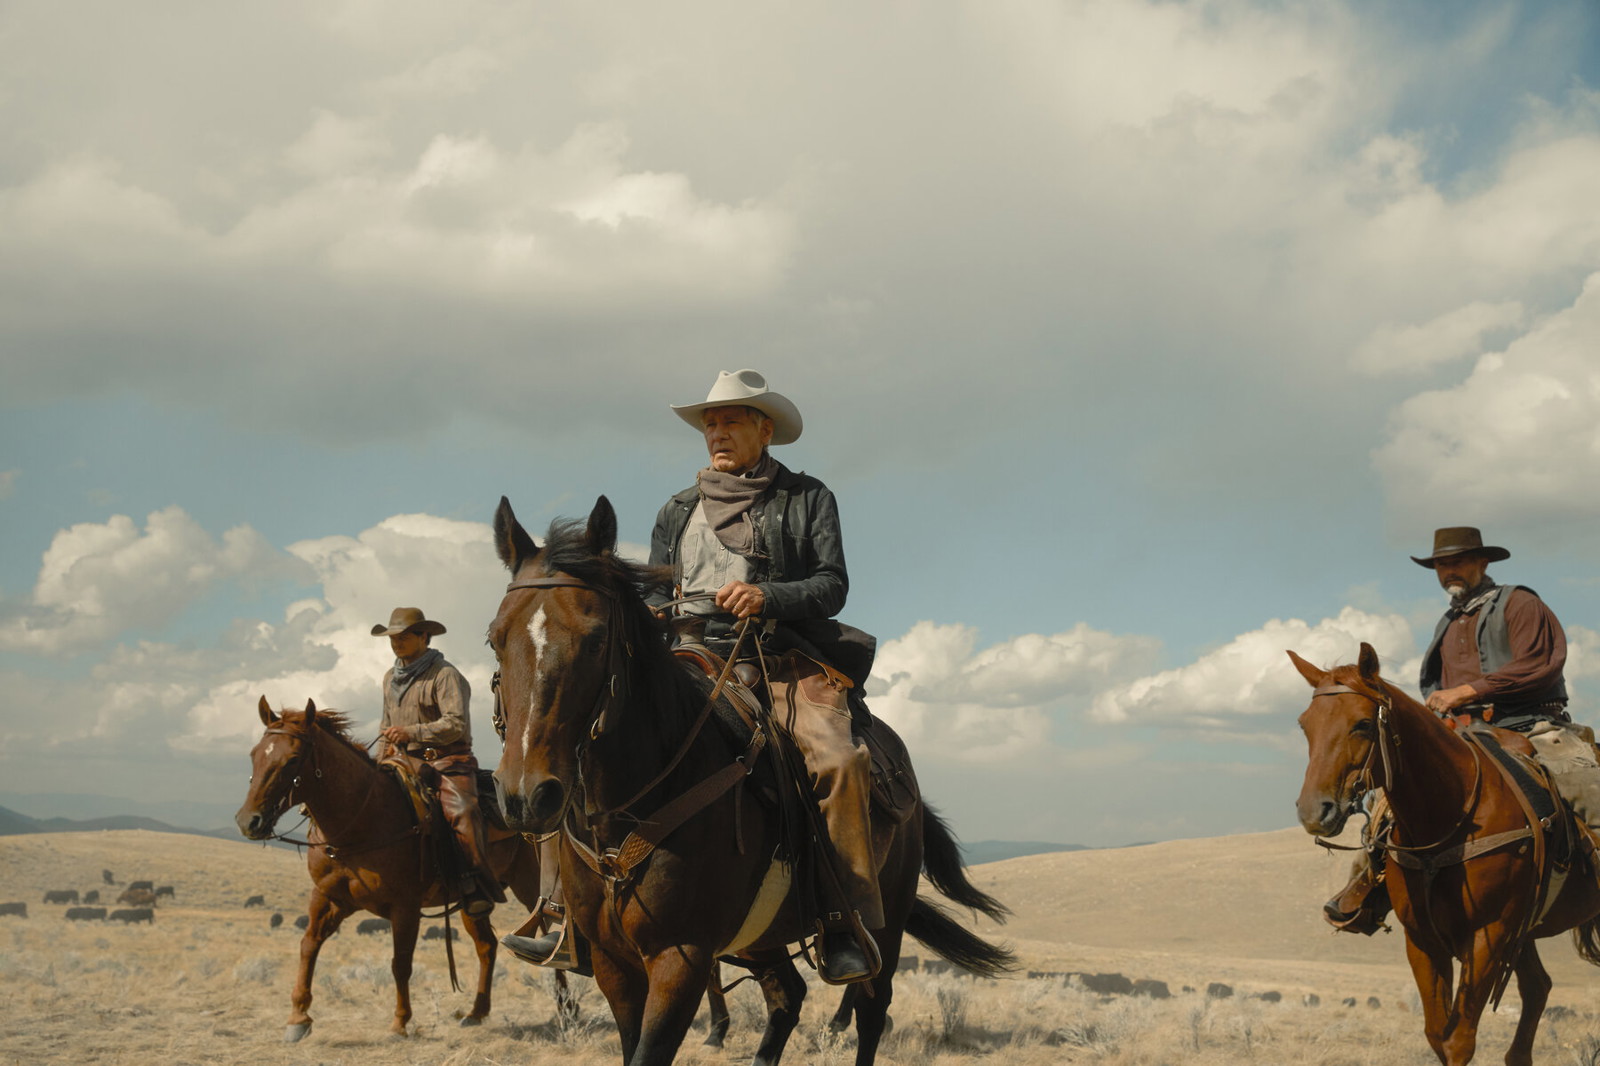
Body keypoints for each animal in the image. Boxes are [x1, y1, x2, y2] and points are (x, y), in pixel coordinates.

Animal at [232, 697, 544, 1037]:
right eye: (254, 755)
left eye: (292, 760)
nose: (249, 820)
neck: (361, 821)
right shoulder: (329, 898)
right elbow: (308, 946)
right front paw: (298, 1017)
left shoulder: (405, 907)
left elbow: (400, 963)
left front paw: (400, 1022)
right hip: (473, 902)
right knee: (487, 945)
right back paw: (476, 1013)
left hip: (530, 886)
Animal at [486, 499, 1011, 1062]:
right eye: (495, 639)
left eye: (595, 638)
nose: (528, 795)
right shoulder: (613, 964)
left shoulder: (681, 958)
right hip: (762, 939)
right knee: (788, 996)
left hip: (885, 920)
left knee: (871, 1010)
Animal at [1286, 640, 1600, 1062]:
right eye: (1306, 724)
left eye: (1363, 723)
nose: (1314, 811)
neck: (1450, 814)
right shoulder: (1423, 940)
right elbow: (1437, 1034)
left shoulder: (1487, 936)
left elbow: (1458, 1040)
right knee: (1538, 987)